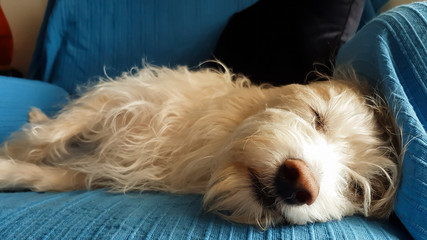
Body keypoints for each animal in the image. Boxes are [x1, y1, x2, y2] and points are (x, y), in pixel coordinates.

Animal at [0, 63, 402, 227]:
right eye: (317, 117)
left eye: (355, 188)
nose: (299, 182)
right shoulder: (115, 100)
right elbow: (47, 137)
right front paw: (12, 153)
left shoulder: (95, 171)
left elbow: (49, 176)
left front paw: (11, 171)